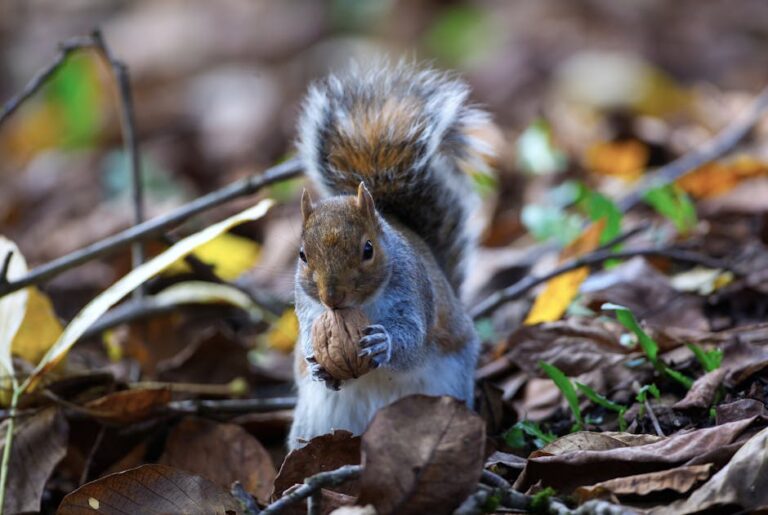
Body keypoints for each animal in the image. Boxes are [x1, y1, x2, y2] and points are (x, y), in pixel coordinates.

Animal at [288, 62, 495, 449]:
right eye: (303, 255)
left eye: (368, 249)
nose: (331, 298)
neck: (359, 307)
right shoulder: (308, 310)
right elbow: (309, 336)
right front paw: (316, 363)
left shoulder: (414, 293)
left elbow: (413, 341)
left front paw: (382, 343)